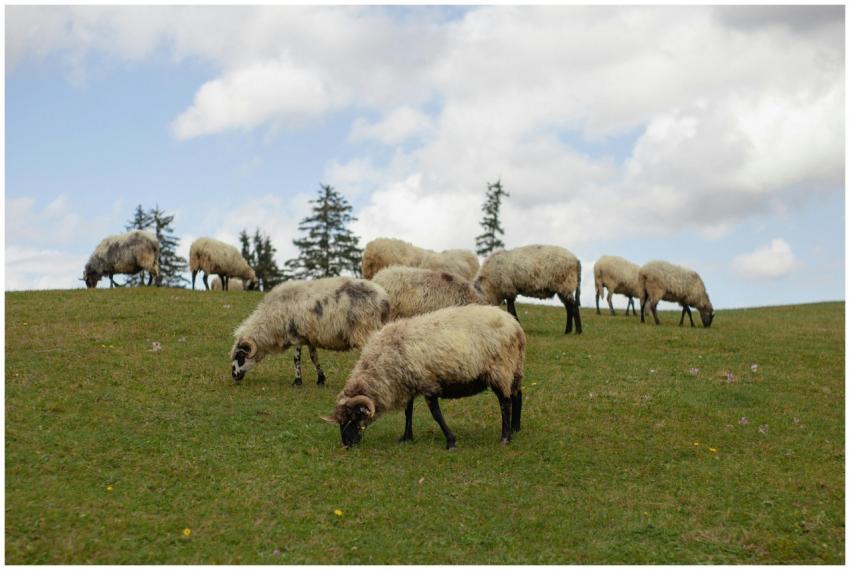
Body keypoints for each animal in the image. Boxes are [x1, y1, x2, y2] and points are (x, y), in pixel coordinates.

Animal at [230, 276, 390, 386]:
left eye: (240, 356)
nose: (233, 375)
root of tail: (384, 299)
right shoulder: (309, 337)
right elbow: (314, 357)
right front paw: (320, 379)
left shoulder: (296, 334)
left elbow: (296, 359)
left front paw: (297, 381)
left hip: (365, 330)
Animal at [322, 305, 525, 449]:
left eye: (354, 417)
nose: (347, 445)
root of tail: (515, 326)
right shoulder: (409, 383)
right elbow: (408, 411)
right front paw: (406, 437)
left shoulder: (428, 383)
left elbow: (436, 414)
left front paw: (451, 442)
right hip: (514, 368)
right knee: (518, 395)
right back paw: (515, 429)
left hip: (500, 369)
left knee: (505, 402)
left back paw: (505, 438)